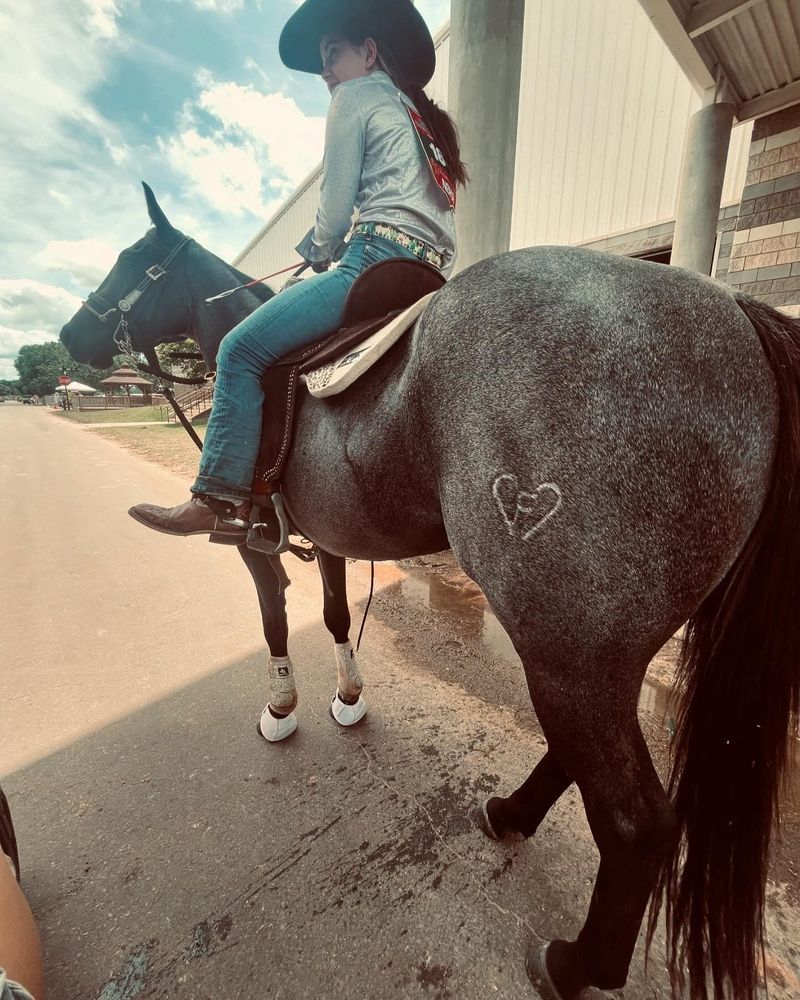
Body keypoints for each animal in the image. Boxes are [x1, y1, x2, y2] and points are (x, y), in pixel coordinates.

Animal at [57, 186, 800, 1000]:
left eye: (137, 260)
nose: (70, 333)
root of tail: (737, 314)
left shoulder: (256, 542)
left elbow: (276, 620)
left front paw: (283, 706)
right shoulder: (331, 536)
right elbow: (334, 613)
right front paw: (348, 695)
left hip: (567, 650)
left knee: (638, 825)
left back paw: (576, 964)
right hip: (595, 650)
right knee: (579, 758)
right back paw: (510, 813)